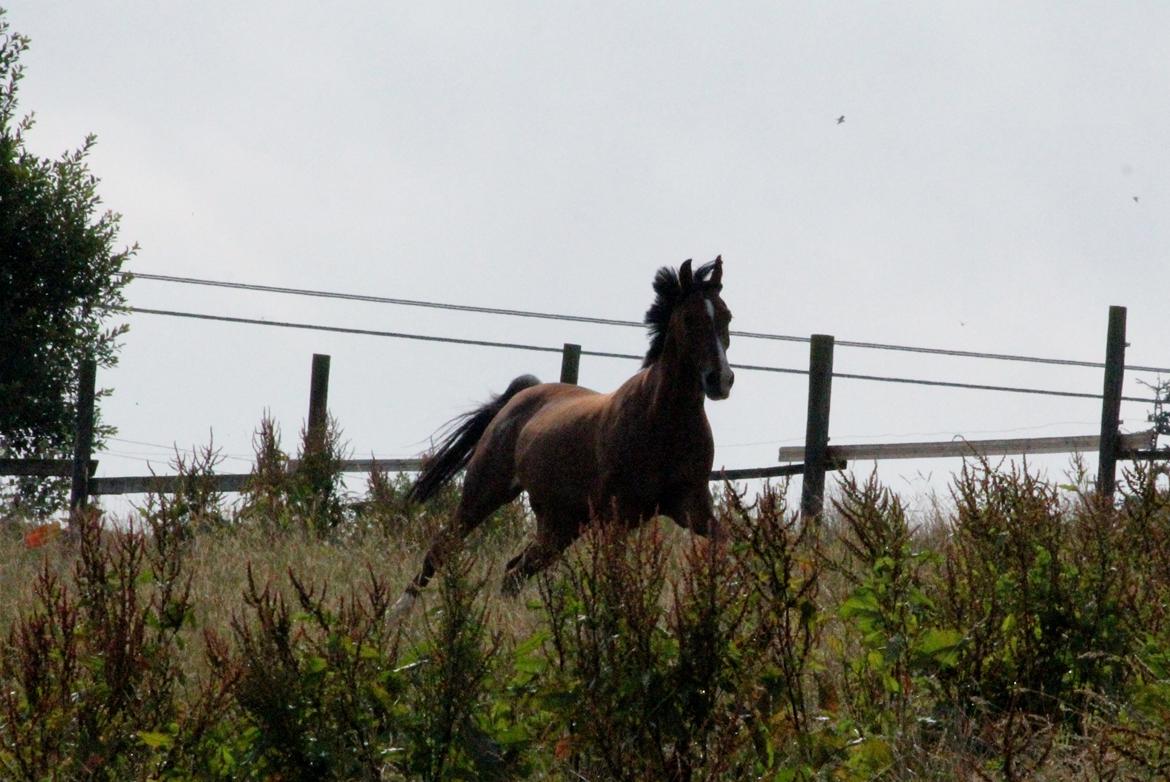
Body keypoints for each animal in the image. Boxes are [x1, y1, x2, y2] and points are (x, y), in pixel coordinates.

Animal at [397, 256, 734, 608]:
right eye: (689, 318)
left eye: (727, 317)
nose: (720, 380)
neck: (663, 422)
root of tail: (522, 396)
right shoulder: (618, 516)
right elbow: (615, 578)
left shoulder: (692, 507)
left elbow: (729, 543)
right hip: (484, 492)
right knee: (442, 547)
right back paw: (398, 613)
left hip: (562, 523)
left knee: (515, 570)